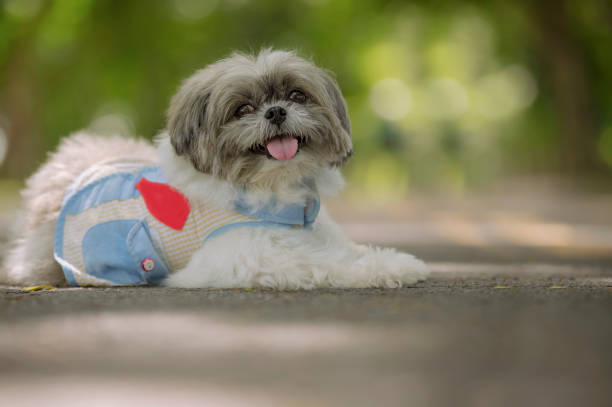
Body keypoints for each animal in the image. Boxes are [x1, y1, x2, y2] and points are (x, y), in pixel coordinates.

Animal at [1, 49, 430, 288]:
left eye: (296, 95)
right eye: (243, 109)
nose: (276, 111)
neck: (273, 189)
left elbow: (346, 249)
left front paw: (391, 257)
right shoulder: (250, 257)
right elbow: (327, 264)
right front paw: (395, 266)